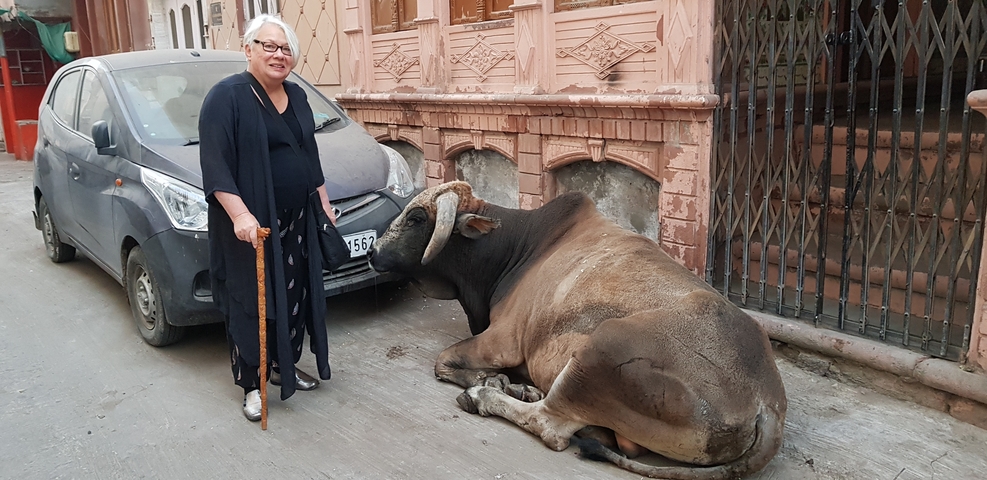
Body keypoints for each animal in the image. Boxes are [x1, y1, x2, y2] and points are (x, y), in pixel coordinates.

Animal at [367, 181, 787, 479]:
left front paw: (493, 383)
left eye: (416, 218)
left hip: (601, 349)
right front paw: (510, 383)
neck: (513, 248)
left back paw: (485, 397)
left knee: (550, 425)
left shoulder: (502, 341)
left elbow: (444, 361)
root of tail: (766, 401)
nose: (370, 252)